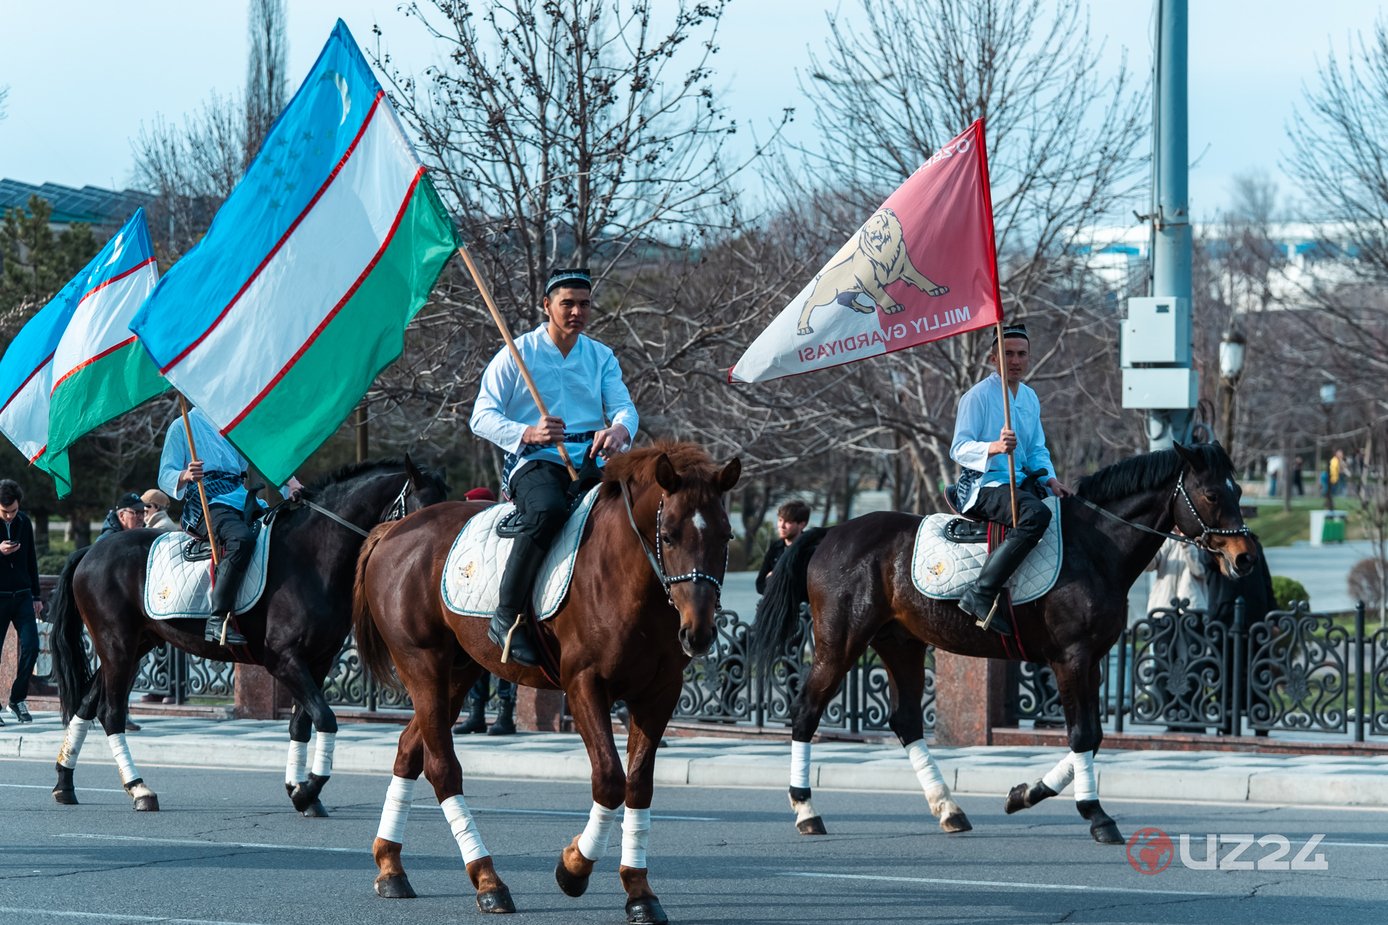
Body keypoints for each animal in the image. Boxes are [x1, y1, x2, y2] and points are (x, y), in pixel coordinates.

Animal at [47, 457, 448, 815]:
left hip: (134, 646)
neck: (313, 556)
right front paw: (308, 790)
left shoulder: (318, 660)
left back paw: (64, 783)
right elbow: (324, 718)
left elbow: (301, 723)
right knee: (111, 712)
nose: (436, 559)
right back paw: (138, 789)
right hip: (117, 645)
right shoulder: (283, 660)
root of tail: (91, 550)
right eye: (424, 509)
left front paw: (299, 788)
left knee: (86, 705)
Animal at [351, 440, 740, 924]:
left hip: (458, 675)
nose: (700, 633)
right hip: (422, 666)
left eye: (725, 536)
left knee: (409, 750)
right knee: (442, 769)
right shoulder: (585, 685)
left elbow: (638, 786)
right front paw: (574, 867)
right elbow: (609, 780)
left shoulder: (659, 694)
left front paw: (639, 890)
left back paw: (391, 866)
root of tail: (395, 528)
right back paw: (487, 880)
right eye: (667, 535)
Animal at [751, 442, 1257, 843]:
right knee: (806, 711)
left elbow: (1092, 739)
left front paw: (1026, 793)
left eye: (1238, 492)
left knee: (906, 721)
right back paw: (806, 810)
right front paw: (1095, 814)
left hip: (901, 644)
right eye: (1213, 494)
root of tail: (829, 533)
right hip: (840, 643)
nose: (1245, 559)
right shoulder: (1071, 658)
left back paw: (949, 808)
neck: (1095, 547)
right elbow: (1082, 735)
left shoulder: (1094, 660)